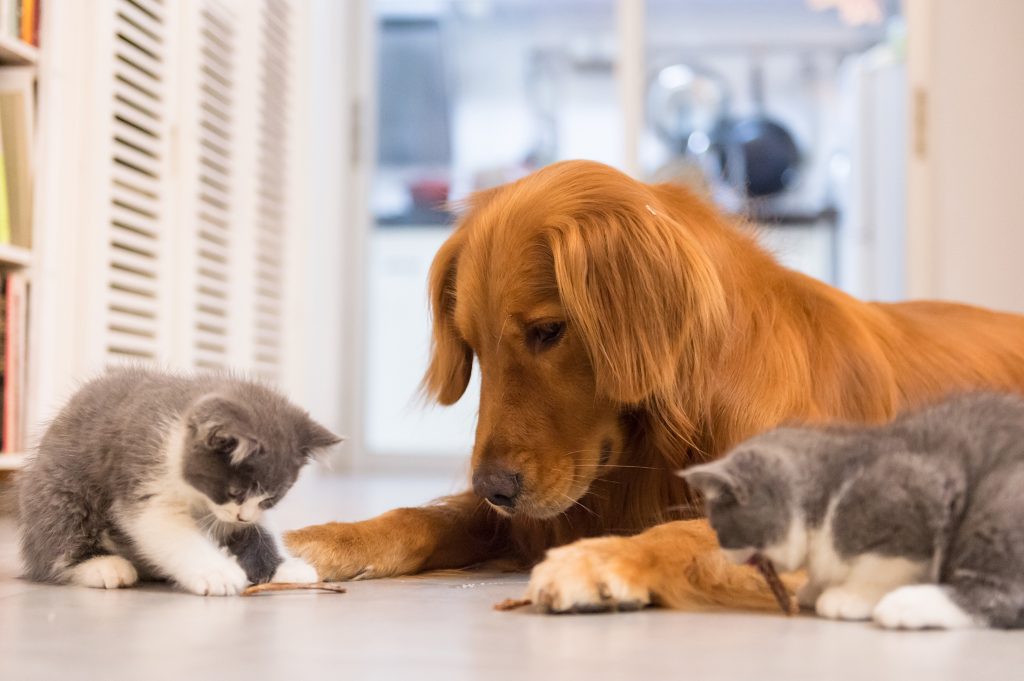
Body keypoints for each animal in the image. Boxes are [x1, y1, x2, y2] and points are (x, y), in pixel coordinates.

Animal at [17, 366, 339, 593]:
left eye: (271, 498)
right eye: (235, 492)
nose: (243, 517)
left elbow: (258, 530)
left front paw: (284, 567)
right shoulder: (144, 474)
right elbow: (168, 530)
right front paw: (216, 572)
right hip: (60, 488)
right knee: (59, 535)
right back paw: (102, 566)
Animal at [679, 391, 1024, 630]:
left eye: (717, 526)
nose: (723, 553)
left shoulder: (914, 499)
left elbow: (884, 564)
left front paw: (849, 597)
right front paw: (814, 587)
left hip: (995, 506)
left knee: (1001, 596)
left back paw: (905, 606)